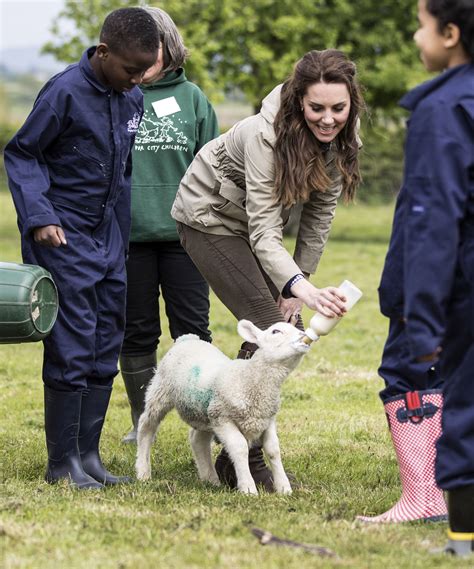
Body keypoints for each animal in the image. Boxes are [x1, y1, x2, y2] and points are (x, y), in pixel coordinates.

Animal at [135, 320, 310, 492]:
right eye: (275, 331)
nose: (304, 335)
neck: (248, 379)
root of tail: (188, 339)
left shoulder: (267, 419)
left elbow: (273, 450)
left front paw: (283, 487)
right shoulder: (223, 419)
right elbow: (240, 448)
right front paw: (248, 488)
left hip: (204, 412)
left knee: (198, 439)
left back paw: (210, 478)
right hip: (161, 390)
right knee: (146, 424)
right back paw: (143, 471)